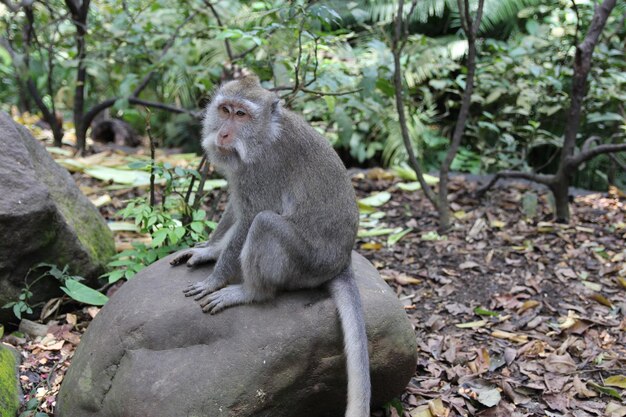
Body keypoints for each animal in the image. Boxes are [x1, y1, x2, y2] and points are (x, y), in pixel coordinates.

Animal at [168, 75, 368, 416]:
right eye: (225, 110)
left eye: (241, 115)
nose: (222, 133)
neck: (262, 137)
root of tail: (342, 262)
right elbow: (236, 208)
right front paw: (209, 250)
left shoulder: (263, 169)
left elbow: (251, 215)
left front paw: (215, 279)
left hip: (307, 265)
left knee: (264, 224)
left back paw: (250, 292)